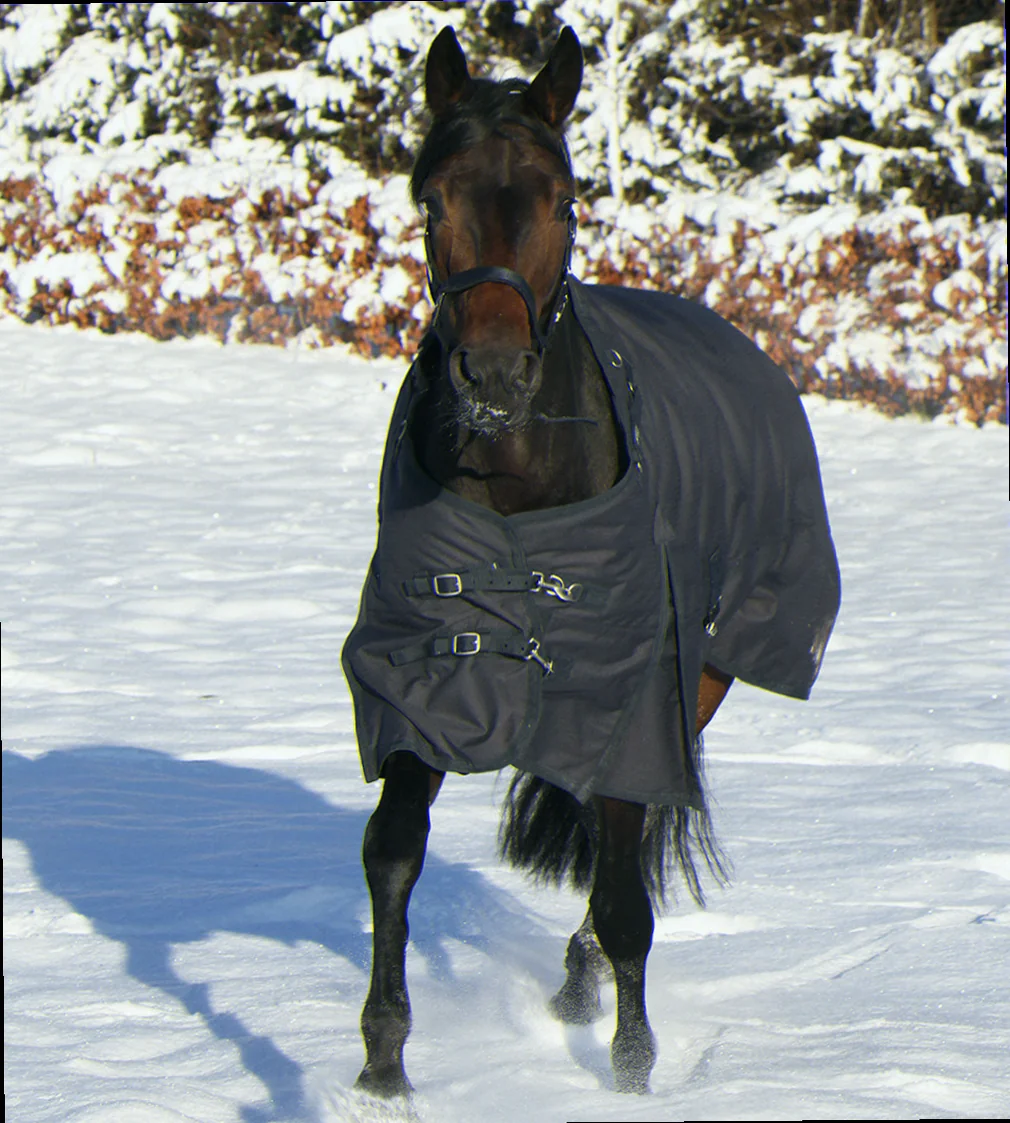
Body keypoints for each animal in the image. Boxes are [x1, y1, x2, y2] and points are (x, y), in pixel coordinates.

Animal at [341, 25, 840, 1099]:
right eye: (429, 198)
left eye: (564, 201)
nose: (492, 374)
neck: (518, 489)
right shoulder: (422, 672)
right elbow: (393, 850)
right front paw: (382, 1066)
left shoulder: (632, 693)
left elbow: (622, 891)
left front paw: (632, 1069)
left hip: (703, 676)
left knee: (633, 844)